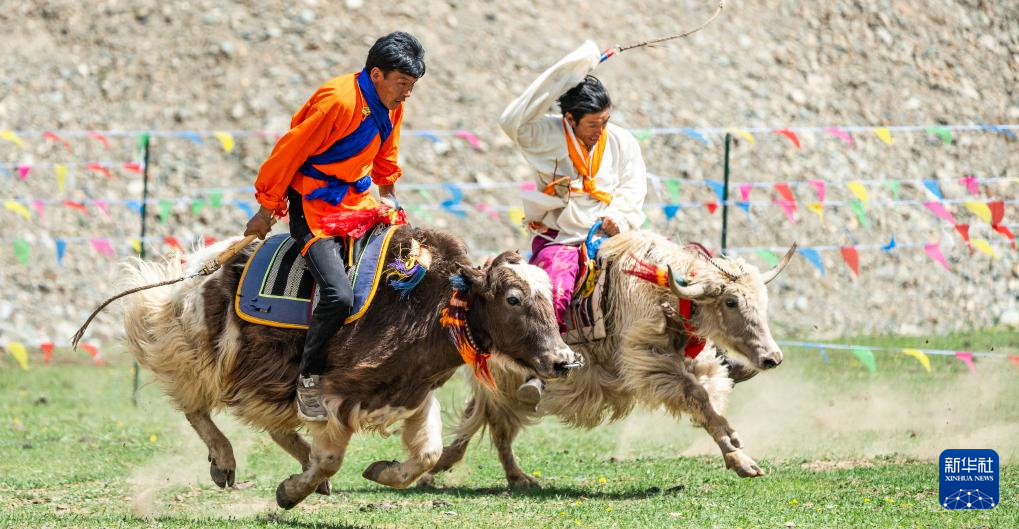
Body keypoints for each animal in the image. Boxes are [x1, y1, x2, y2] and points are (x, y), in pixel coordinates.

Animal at [119, 226, 581, 509]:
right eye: (513, 299)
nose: (562, 361)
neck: (424, 306)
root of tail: (202, 266)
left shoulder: (411, 393)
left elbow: (427, 454)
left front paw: (379, 471)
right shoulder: (332, 394)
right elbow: (331, 459)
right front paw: (289, 493)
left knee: (274, 425)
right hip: (202, 353)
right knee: (194, 404)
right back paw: (225, 461)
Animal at [422, 230, 796, 487]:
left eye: (762, 300)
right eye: (730, 302)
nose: (773, 358)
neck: (664, 291)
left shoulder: (696, 362)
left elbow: (709, 402)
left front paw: (741, 458)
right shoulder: (650, 363)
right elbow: (697, 396)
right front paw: (735, 444)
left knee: (487, 420)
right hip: (503, 382)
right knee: (492, 423)